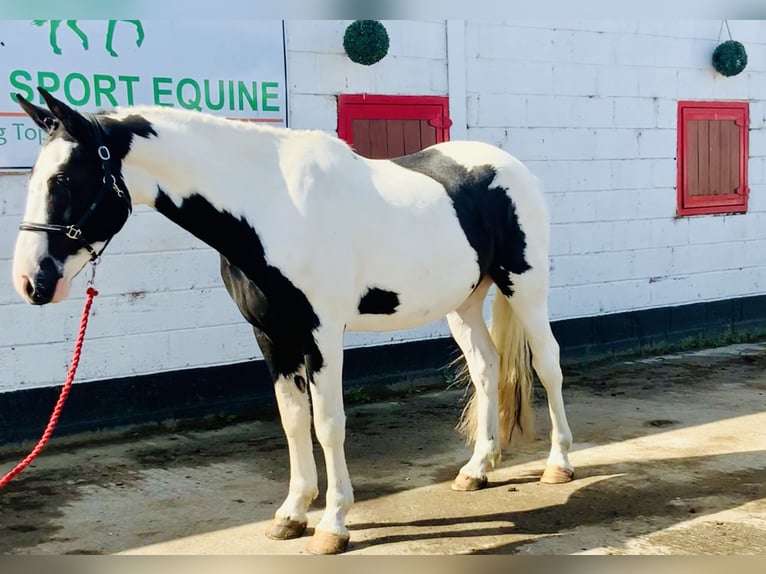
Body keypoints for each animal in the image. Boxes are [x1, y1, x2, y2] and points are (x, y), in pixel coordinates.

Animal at [13, 88, 576, 556]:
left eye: (63, 180)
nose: (30, 282)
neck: (271, 208)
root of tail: (508, 167)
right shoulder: (270, 337)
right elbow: (292, 421)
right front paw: (291, 514)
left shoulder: (320, 335)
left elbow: (328, 424)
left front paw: (333, 524)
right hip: (463, 301)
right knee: (486, 369)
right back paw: (477, 470)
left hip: (524, 287)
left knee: (548, 365)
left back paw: (558, 464)